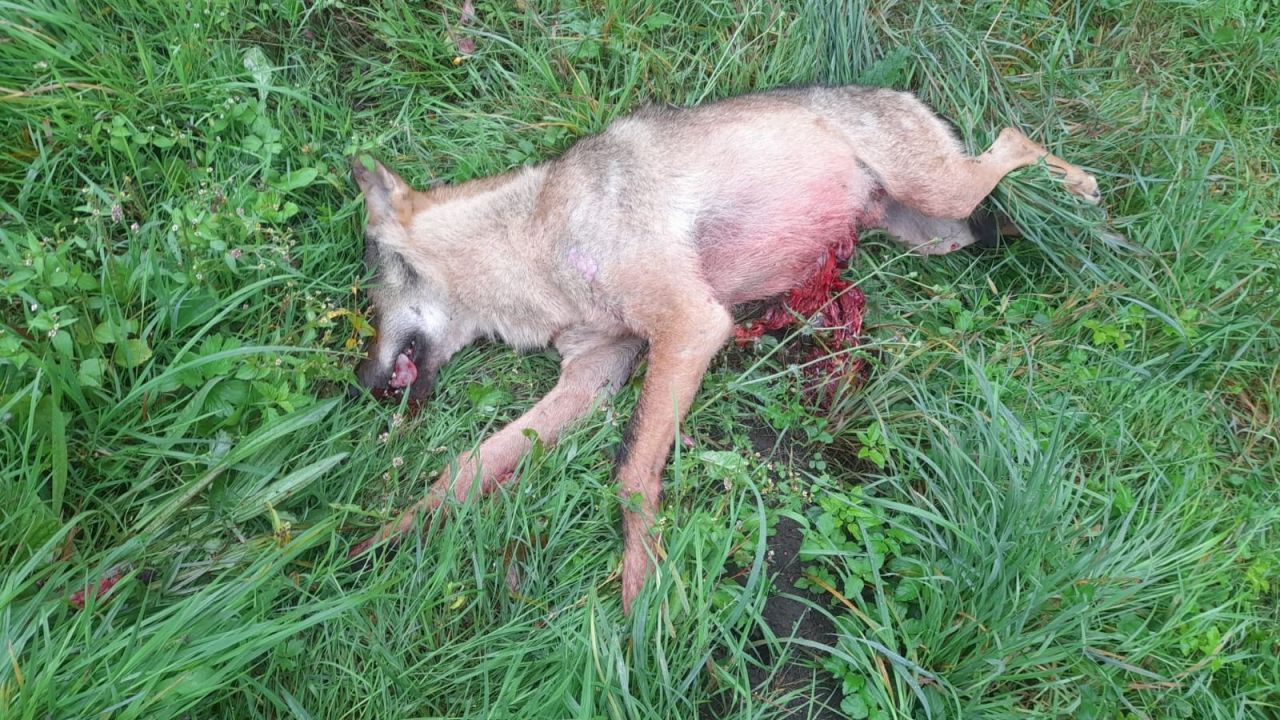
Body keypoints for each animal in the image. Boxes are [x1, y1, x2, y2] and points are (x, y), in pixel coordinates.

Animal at [347, 85, 1100, 613]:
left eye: (371, 284)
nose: (361, 381)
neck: (534, 247)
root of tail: (893, 91)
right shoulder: (594, 376)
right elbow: (463, 472)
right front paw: (374, 548)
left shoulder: (691, 326)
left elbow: (631, 475)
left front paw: (640, 599)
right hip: (940, 231)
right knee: (999, 185)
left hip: (943, 194)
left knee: (1012, 140)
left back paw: (1080, 190)